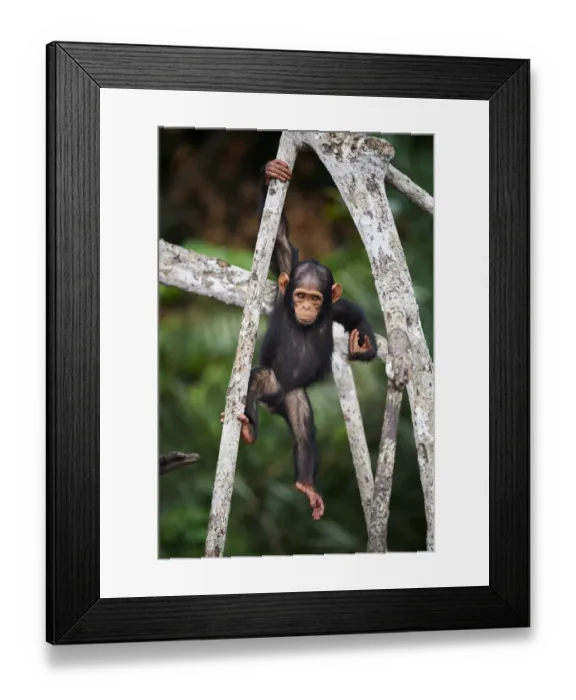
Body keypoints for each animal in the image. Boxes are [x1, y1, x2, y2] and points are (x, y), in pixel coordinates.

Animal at [222, 158, 377, 520]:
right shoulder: (285, 282)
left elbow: (353, 313)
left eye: (315, 298)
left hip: (295, 399)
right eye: (300, 295)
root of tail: (275, 401)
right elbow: (280, 243)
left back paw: (306, 483)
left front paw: (363, 346)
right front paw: (271, 173)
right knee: (255, 381)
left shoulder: (335, 308)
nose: (306, 306)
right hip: (271, 383)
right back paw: (248, 428)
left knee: (305, 433)